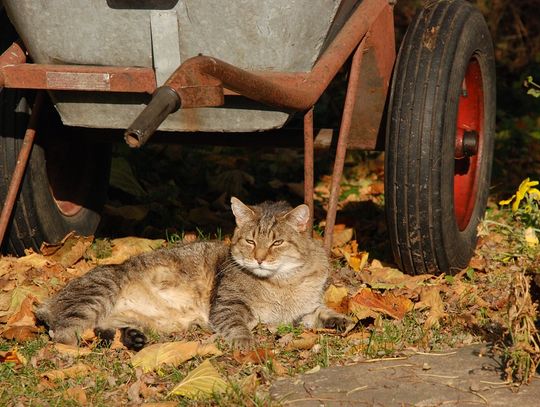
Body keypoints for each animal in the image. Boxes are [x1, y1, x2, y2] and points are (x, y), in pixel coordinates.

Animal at [35, 198, 348, 350]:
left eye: (277, 242)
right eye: (250, 241)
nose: (259, 258)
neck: (284, 283)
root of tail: (45, 302)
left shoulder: (303, 311)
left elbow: (322, 312)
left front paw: (341, 320)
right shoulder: (227, 306)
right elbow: (239, 326)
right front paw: (246, 343)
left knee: (100, 330)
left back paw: (130, 338)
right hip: (98, 292)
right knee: (62, 333)